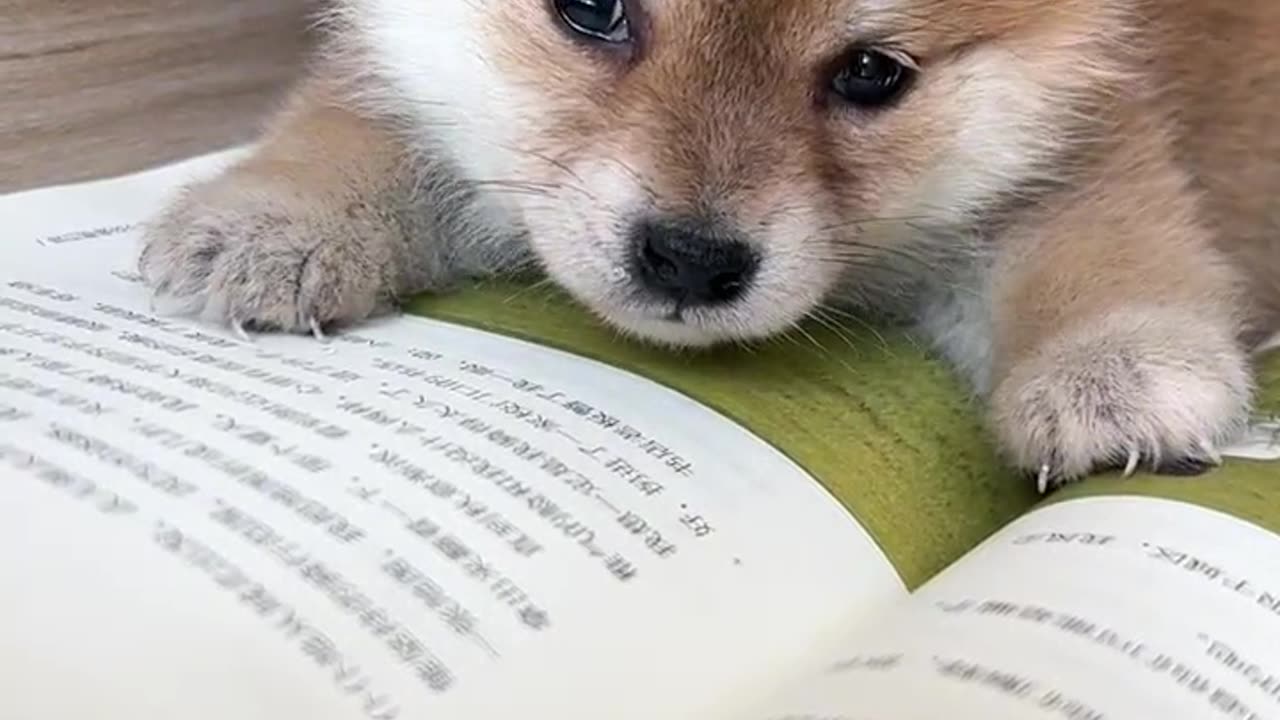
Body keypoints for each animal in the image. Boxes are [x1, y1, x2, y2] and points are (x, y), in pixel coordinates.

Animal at [140, 0, 1280, 486]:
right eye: (591, 9)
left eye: (871, 72)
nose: (691, 257)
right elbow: (368, 119)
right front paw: (279, 215)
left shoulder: (1078, 143)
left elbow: (1095, 243)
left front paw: (1114, 367)